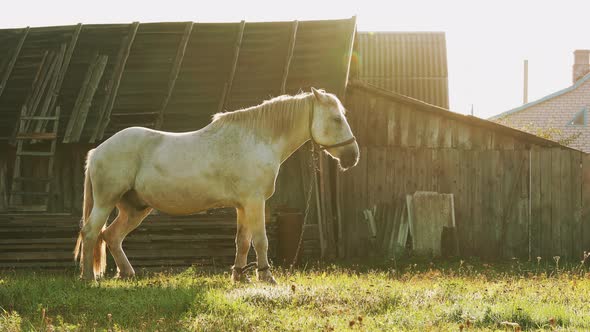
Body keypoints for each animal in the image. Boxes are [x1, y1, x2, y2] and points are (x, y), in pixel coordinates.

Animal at [74, 87, 360, 282]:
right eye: (336, 119)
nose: (352, 157)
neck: (256, 140)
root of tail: (98, 150)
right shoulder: (255, 202)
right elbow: (261, 240)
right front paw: (266, 277)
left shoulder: (243, 206)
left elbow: (242, 241)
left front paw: (240, 277)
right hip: (106, 202)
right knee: (91, 233)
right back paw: (88, 277)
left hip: (135, 208)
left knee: (111, 236)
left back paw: (127, 273)